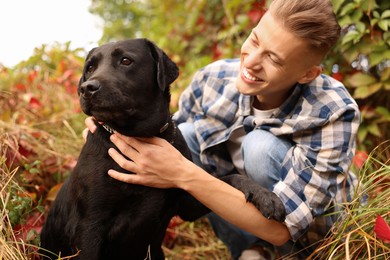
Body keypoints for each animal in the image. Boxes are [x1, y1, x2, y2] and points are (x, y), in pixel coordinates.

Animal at [38, 38, 284, 260]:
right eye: (90, 67)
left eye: (126, 60)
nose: (87, 88)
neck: (140, 135)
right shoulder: (89, 225)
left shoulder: (188, 204)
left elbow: (229, 178)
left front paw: (266, 197)